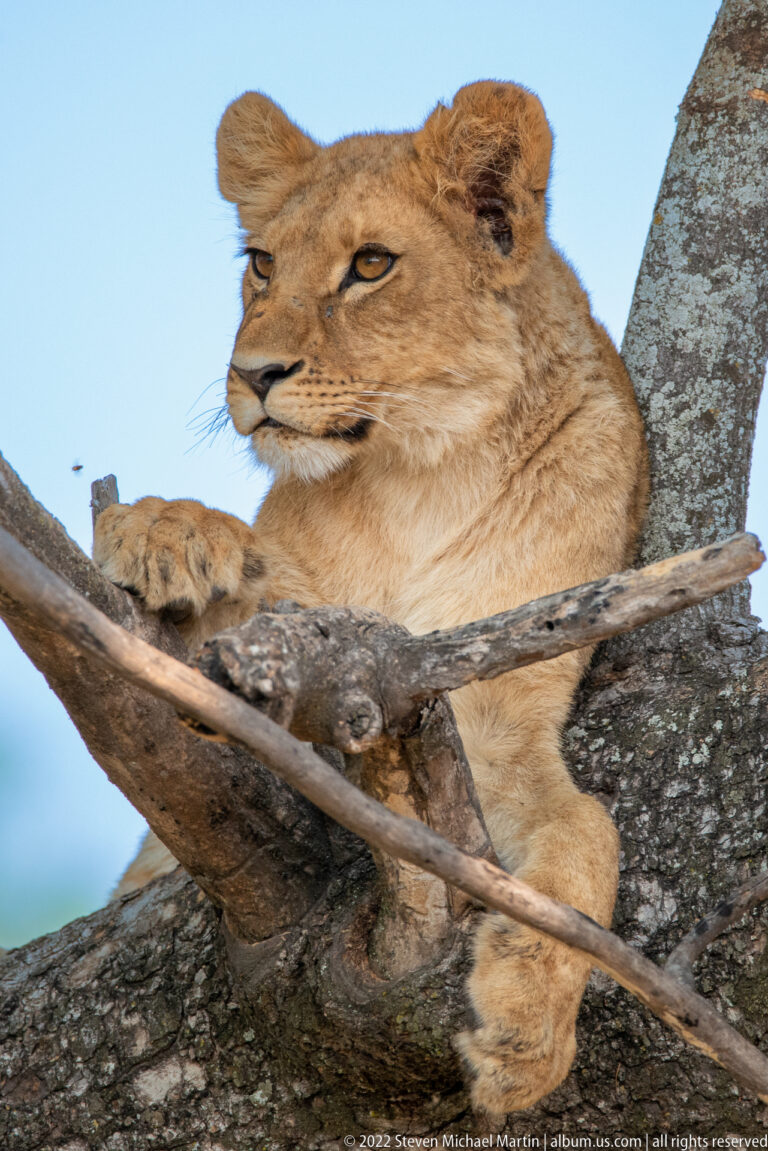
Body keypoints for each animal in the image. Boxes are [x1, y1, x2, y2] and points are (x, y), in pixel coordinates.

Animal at [94, 81, 648, 1115]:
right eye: (262, 263)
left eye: (372, 265)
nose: (254, 374)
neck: (420, 477)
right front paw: (164, 529)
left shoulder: (498, 722)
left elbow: (588, 829)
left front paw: (525, 1032)